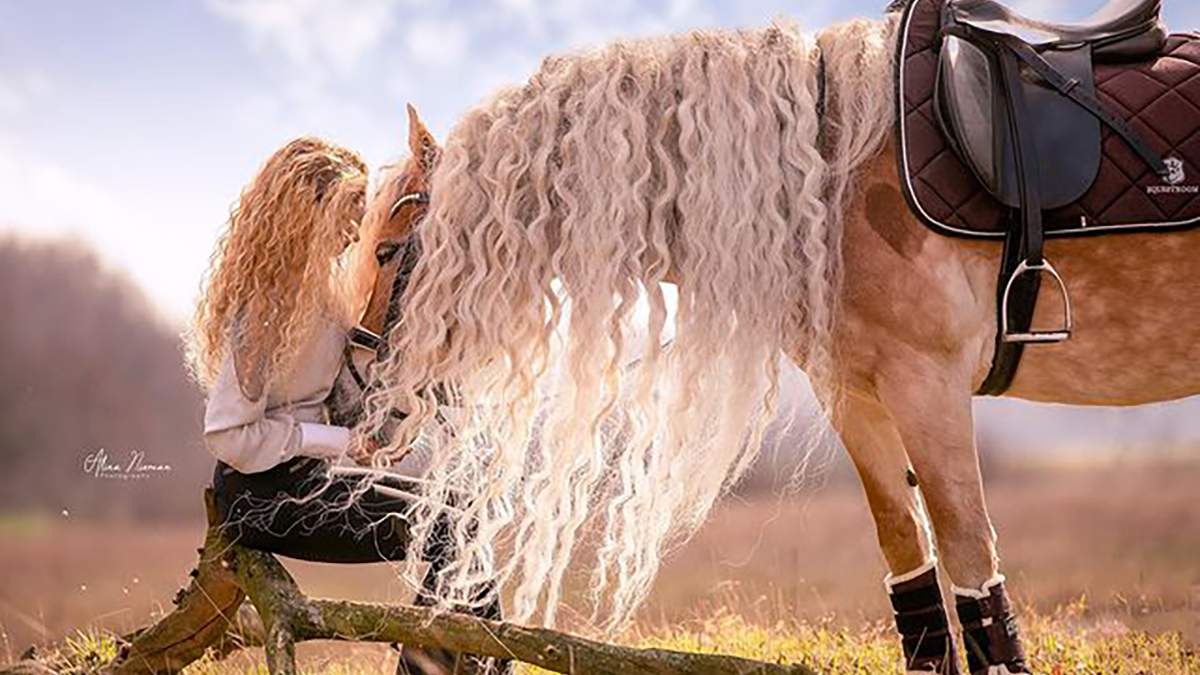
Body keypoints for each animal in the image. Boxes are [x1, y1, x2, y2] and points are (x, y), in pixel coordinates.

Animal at [358, 5, 1199, 674]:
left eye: (390, 249)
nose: (362, 401)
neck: (831, 175)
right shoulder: (856, 393)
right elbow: (912, 569)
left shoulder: (928, 387)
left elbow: (973, 570)